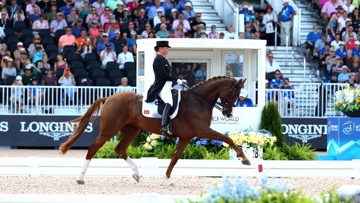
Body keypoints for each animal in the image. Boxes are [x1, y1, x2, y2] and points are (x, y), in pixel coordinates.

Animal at [59, 76, 250, 186]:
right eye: (234, 94)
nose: (228, 113)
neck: (199, 101)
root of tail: (109, 97)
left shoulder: (187, 137)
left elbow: (174, 158)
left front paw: (169, 179)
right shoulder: (202, 131)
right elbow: (228, 139)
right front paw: (244, 159)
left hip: (132, 130)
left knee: (120, 149)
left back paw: (137, 174)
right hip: (109, 130)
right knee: (93, 148)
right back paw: (80, 178)